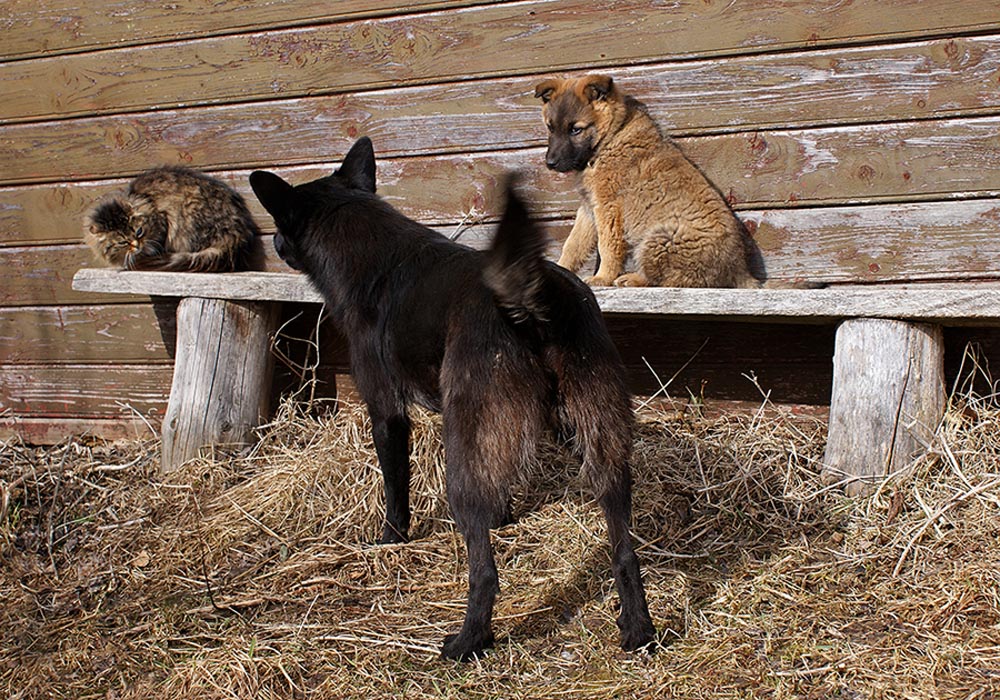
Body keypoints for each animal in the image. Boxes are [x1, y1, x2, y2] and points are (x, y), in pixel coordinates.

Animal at [250, 138, 656, 660]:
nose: (276, 247)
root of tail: (533, 301)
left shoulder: (387, 413)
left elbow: (395, 489)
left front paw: (390, 540)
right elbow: (501, 489)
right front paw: (504, 518)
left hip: (461, 456)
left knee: (484, 571)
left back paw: (468, 640)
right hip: (598, 444)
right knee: (624, 549)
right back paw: (638, 627)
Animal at [536, 74, 752, 288]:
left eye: (575, 130)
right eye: (550, 128)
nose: (550, 163)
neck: (611, 136)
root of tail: (739, 270)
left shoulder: (608, 208)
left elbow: (607, 247)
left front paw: (602, 277)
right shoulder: (590, 208)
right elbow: (573, 245)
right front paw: (561, 270)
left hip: (661, 236)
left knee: (669, 280)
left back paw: (631, 278)